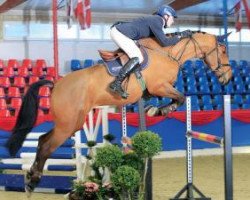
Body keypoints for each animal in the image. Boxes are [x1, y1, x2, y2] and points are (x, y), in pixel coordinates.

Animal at [5, 30, 232, 194]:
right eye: (222, 51)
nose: (228, 77)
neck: (169, 53)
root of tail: (56, 84)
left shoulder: (157, 90)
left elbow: (177, 97)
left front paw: (153, 109)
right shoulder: (160, 86)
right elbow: (180, 97)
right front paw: (158, 111)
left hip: (72, 123)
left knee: (42, 139)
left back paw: (31, 178)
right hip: (68, 124)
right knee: (46, 146)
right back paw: (33, 181)